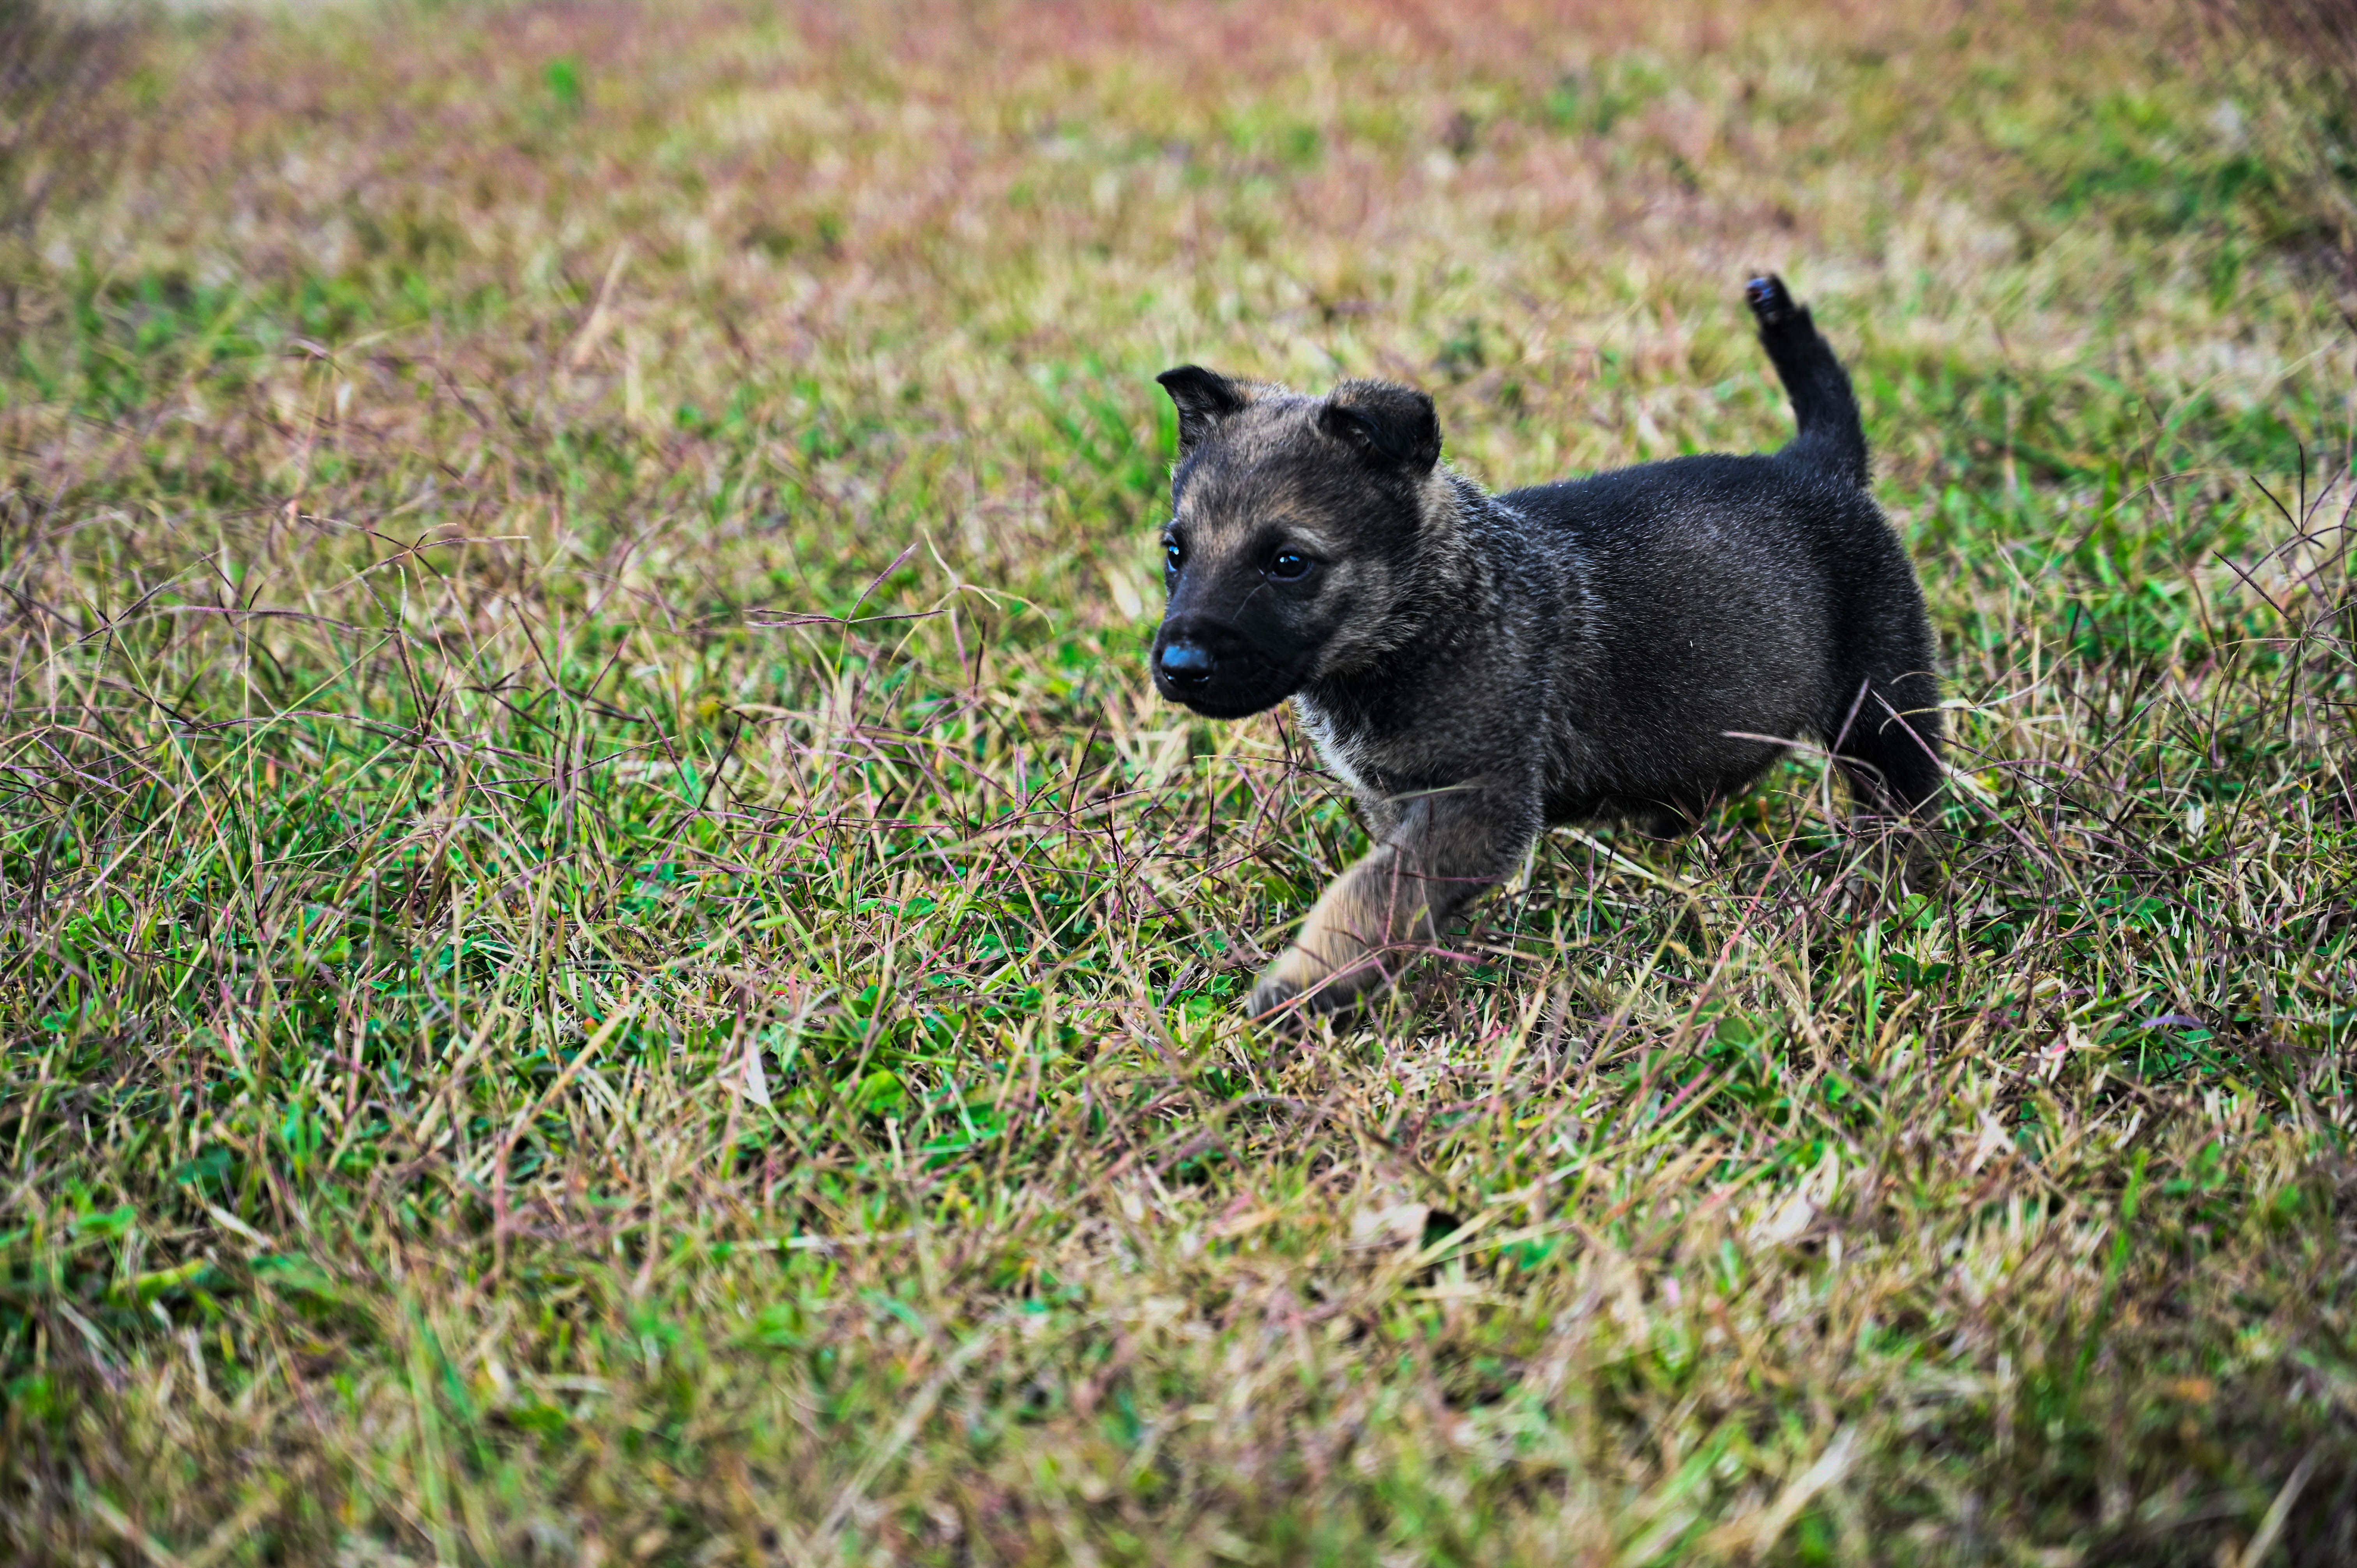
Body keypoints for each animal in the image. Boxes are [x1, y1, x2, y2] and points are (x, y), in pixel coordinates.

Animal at [1150, 277, 1942, 1023]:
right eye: (1174, 552)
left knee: (1909, 802)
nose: (1178, 669)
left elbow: (1370, 896)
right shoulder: (1396, 800)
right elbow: (1397, 907)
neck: (1428, 612)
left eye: (1288, 563)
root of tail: (1818, 463)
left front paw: (1301, 984)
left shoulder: (1481, 803)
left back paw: (1900, 895)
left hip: (1883, 706)